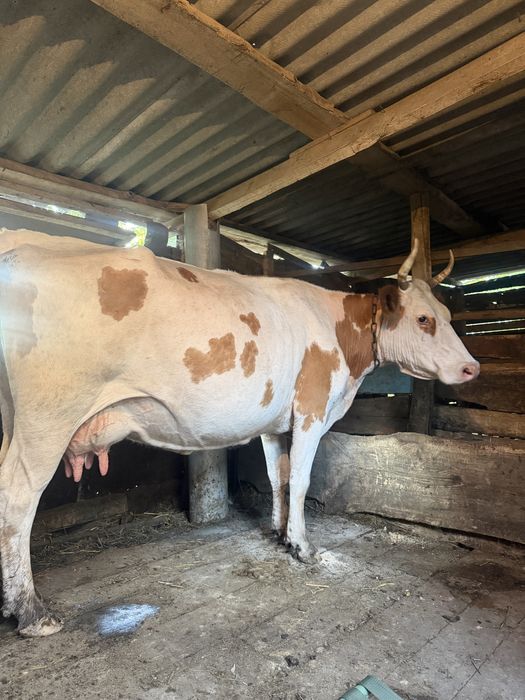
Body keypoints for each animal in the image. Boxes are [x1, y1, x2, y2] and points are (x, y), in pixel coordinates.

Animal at [0, 228, 479, 637]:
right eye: (423, 319)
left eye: (448, 314)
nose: (472, 367)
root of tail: (25, 241)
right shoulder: (311, 411)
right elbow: (301, 480)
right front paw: (303, 546)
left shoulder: (274, 423)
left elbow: (277, 477)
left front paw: (280, 533)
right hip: (48, 418)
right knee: (18, 499)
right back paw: (31, 612)